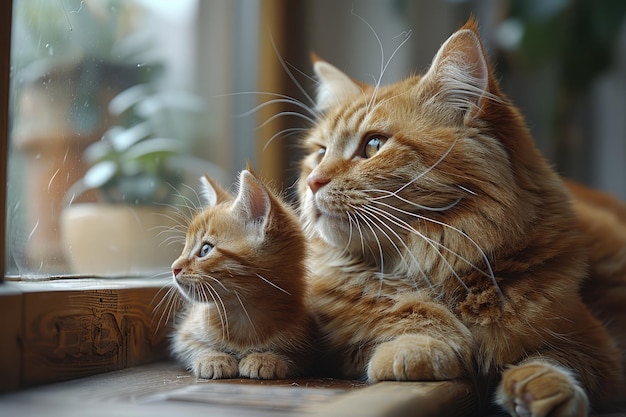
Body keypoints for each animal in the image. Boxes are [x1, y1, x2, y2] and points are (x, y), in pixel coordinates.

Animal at [169, 170, 312, 380]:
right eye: (185, 247)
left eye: (205, 250)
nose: (174, 268)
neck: (242, 313)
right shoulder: (184, 335)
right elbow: (193, 346)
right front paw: (213, 358)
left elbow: (297, 356)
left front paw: (266, 358)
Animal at [298, 17, 624, 414]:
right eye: (319, 153)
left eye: (373, 146)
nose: (313, 181)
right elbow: (398, 312)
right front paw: (423, 345)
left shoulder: (599, 349)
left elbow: (555, 358)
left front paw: (540, 387)